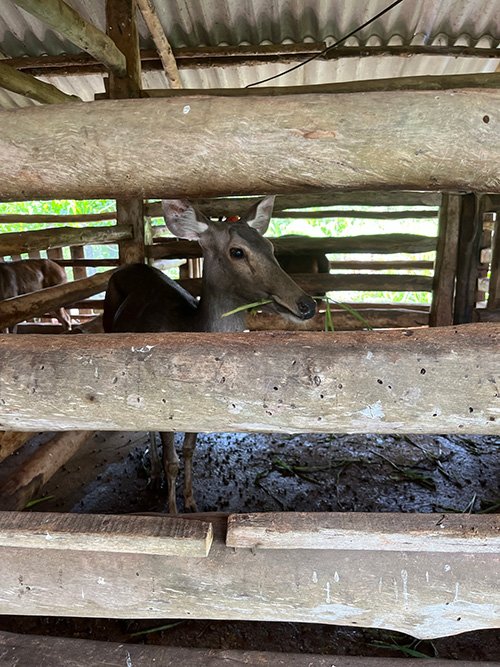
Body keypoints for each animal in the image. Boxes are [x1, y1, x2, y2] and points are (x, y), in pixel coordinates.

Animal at [103, 196, 316, 516]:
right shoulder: (163, 400)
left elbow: (190, 450)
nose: (307, 304)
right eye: (237, 252)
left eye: (270, 246)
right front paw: (173, 512)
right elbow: (172, 461)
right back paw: (153, 476)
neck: (187, 326)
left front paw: (192, 502)